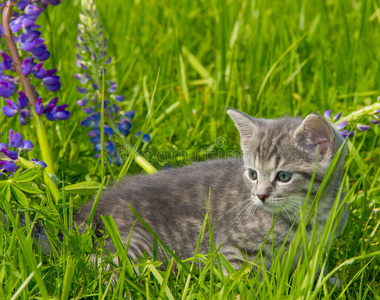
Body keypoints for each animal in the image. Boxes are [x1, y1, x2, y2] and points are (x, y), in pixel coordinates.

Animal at [72, 109, 348, 270]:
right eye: (253, 174)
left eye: (283, 176)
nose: (260, 195)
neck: (309, 213)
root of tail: (100, 201)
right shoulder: (232, 248)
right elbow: (241, 278)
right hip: (137, 243)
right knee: (100, 263)